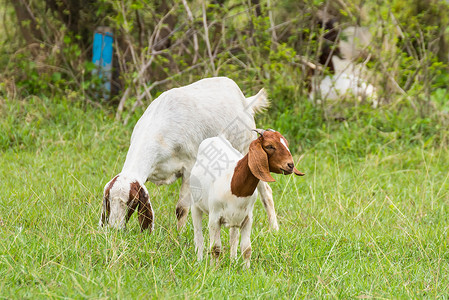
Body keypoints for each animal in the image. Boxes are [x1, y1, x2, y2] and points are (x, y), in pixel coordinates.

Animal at [100, 77, 278, 232]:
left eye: (132, 202)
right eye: (108, 200)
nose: (114, 229)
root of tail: (245, 100)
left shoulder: (189, 168)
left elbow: (181, 209)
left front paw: (179, 234)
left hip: (246, 149)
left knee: (266, 191)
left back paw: (274, 229)